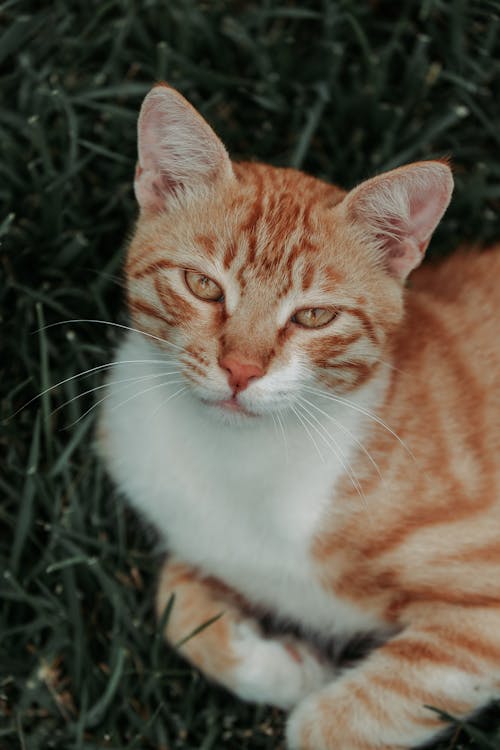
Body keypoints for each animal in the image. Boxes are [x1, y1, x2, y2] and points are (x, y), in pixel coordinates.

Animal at [98, 83, 500, 750]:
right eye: (203, 286)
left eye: (314, 317)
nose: (240, 369)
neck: (237, 460)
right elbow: (174, 605)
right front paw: (284, 666)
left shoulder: (482, 606)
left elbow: (333, 724)